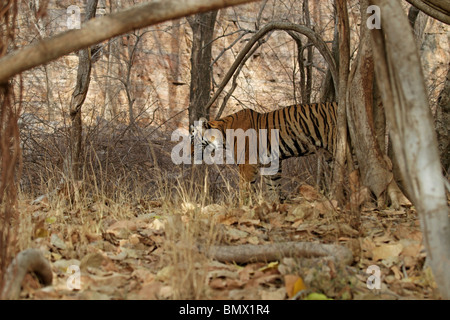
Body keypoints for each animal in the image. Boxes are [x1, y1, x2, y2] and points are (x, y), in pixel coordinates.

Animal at [191, 102, 338, 202]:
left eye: (193, 139)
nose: (189, 153)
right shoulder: (270, 164)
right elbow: (273, 188)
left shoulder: (247, 164)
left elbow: (245, 189)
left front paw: (243, 207)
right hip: (329, 156)